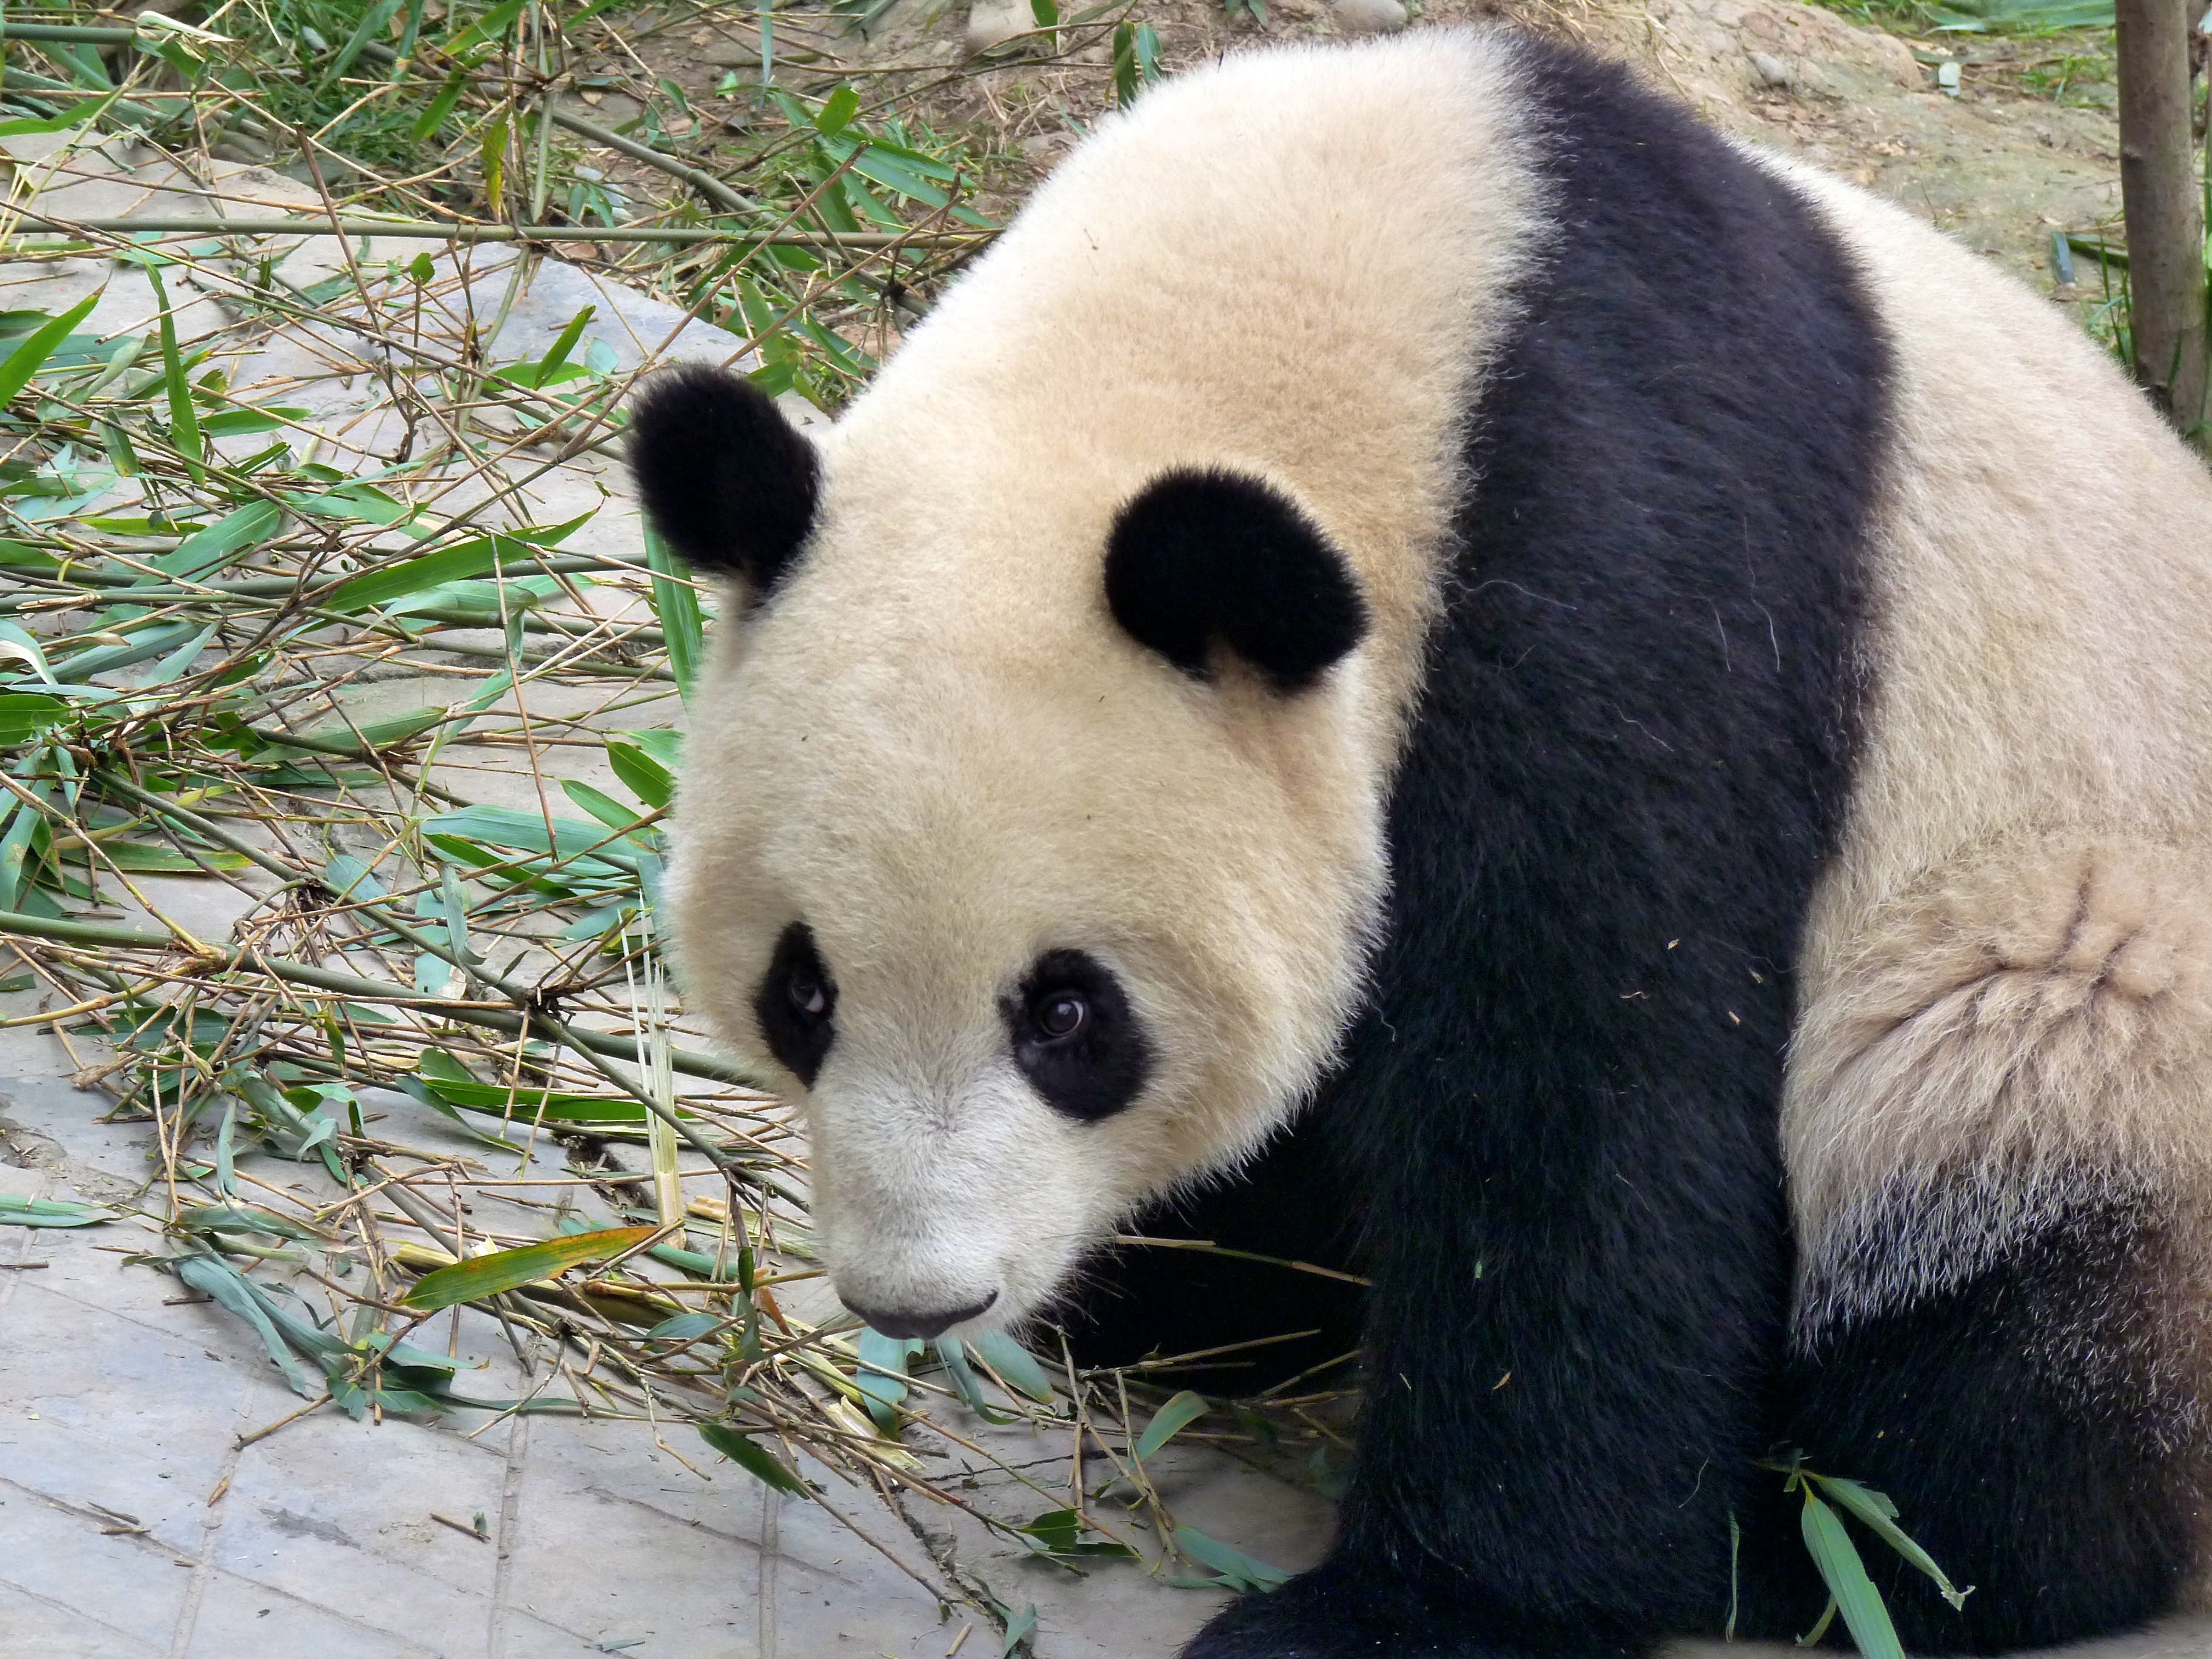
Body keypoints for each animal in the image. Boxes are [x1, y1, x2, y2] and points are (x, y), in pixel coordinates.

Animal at [628, 26, 2212, 1659]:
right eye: (802, 995)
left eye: (1068, 1015)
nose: (917, 1301)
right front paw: (1182, 1300)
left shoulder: (1626, 570)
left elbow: (1583, 1097)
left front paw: (1415, 1601)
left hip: (2079, 951)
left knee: (2005, 1155)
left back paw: (1840, 1542)